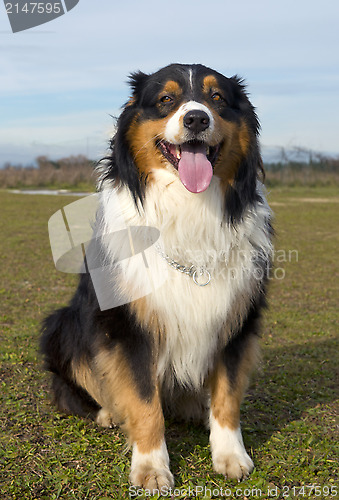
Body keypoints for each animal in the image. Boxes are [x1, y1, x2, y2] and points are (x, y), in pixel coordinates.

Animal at [40, 63, 274, 492]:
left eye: (218, 98)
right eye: (166, 99)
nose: (196, 118)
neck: (189, 206)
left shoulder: (236, 321)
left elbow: (228, 396)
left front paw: (230, 456)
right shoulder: (128, 326)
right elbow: (145, 404)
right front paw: (150, 467)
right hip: (62, 324)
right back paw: (108, 412)